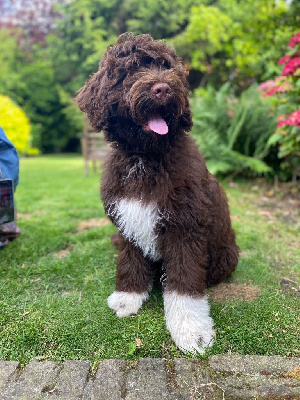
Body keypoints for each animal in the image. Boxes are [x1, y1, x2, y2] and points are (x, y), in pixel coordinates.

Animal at [77, 32, 239, 354]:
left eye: (166, 66)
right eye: (129, 70)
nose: (163, 88)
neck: (145, 156)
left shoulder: (185, 226)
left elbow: (185, 282)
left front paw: (191, 330)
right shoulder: (128, 220)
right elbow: (130, 260)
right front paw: (128, 297)